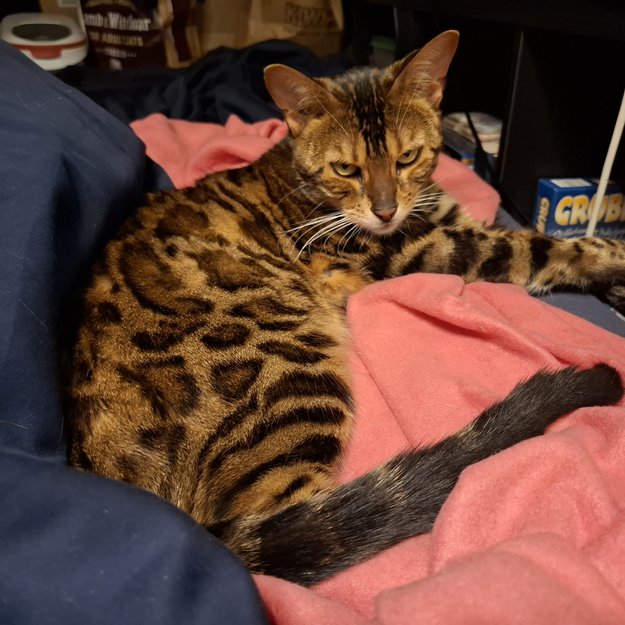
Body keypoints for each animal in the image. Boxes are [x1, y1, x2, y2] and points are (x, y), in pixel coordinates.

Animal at [66, 30, 625, 586]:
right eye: (346, 169)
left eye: (407, 157)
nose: (385, 210)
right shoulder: (427, 251)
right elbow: (539, 247)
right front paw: (608, 253)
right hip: (291, 376)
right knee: (321, 526)